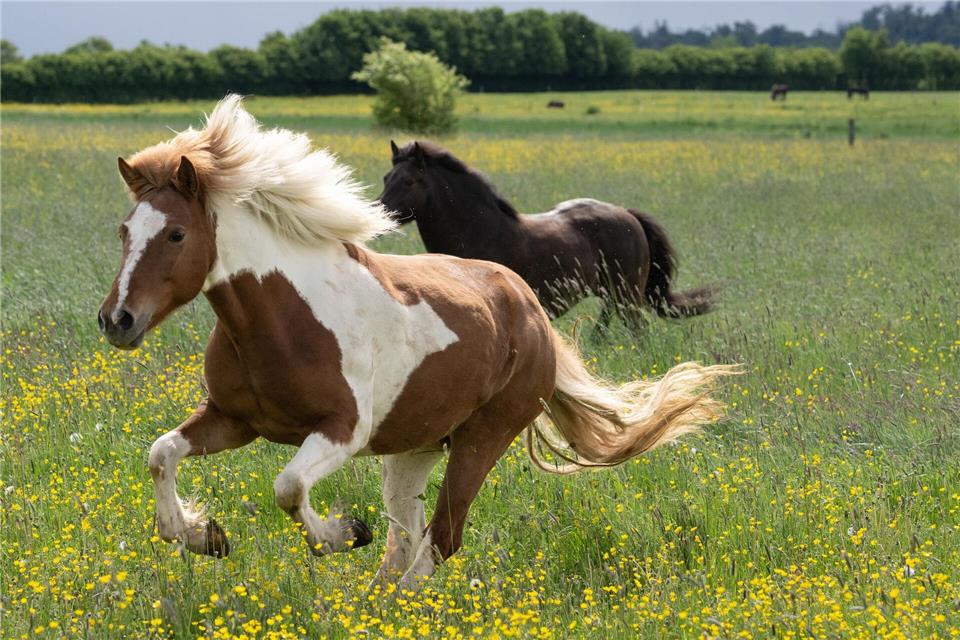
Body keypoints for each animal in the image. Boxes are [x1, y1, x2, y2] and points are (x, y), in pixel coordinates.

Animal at [379, 141, 714, 330]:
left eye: (409, 181)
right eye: (386, 177)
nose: (378, 215)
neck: (480, 232)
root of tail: (627, 214)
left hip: (626, 294)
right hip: (610, 294)